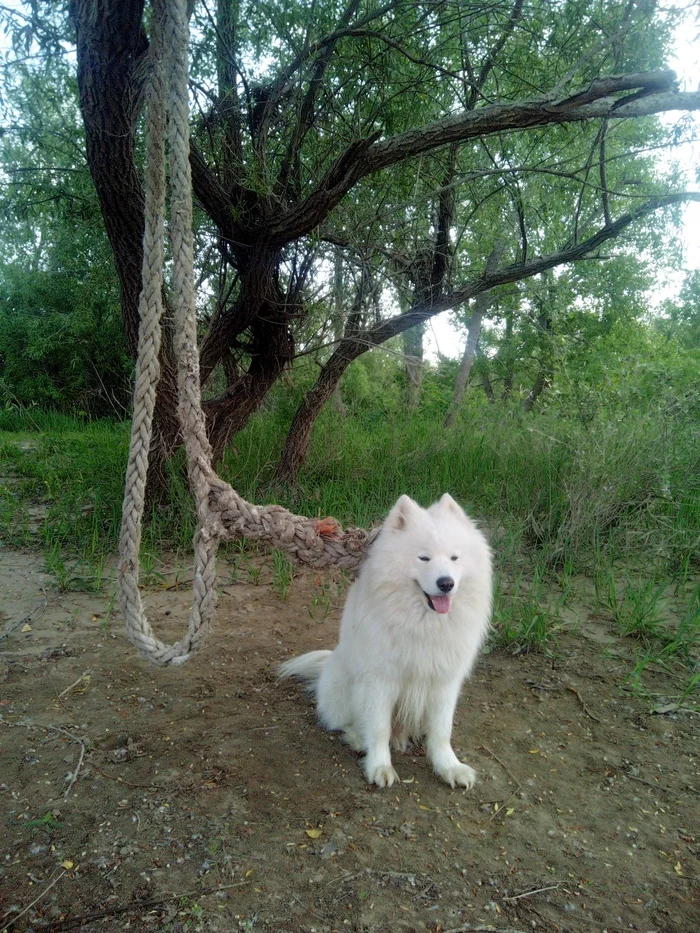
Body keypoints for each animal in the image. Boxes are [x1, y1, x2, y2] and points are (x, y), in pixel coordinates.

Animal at [278, 492, 492, 792]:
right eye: (423, 558)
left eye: (454, 558)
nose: (446, 583)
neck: (423, 624)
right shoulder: (379, 681)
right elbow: (379, 728)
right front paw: (379, 767)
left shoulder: (444, 682)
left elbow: (441, 732)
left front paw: (449, 767)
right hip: (344, 688)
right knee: (346, 723)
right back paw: (358, 739)